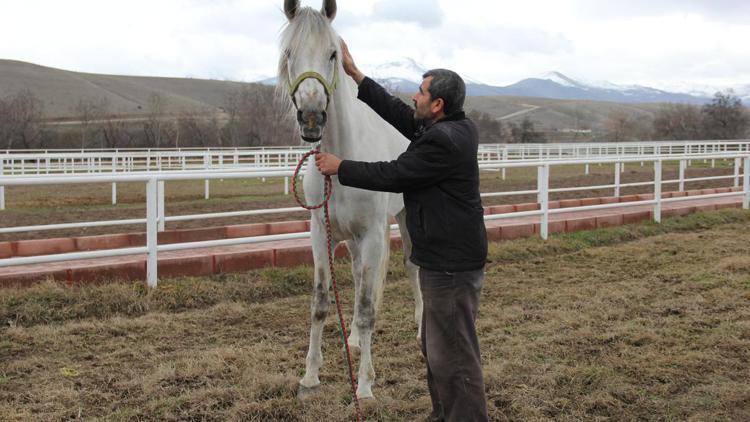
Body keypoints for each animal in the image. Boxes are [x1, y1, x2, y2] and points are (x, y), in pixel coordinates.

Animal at [280, 0, 424, 400]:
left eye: (333, 53)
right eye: (289, 53)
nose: (311, 116)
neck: (342, 159)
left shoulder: (374, 235)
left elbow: (366, 306)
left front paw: (364, 385)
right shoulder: (321, 234)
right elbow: (320, 302)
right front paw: (310, 376)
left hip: (403, 221)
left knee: (411, 269)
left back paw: (421, 330)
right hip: (356, 241)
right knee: (360, 276)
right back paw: (356, 342)